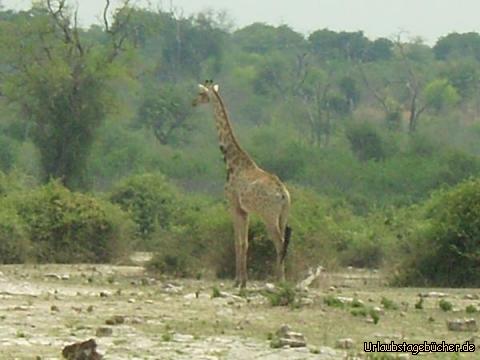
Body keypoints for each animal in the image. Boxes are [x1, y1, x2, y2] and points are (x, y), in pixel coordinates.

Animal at [192, 80, 292, 288]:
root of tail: (283, 194)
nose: (193, 103)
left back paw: (279, 281)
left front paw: (238, 281)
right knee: (284, 241)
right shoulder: (245, 211)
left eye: (201, 94)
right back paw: (281, 280)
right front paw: (243, 280)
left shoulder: (234, 205)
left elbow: (238, 242)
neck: (231, 161)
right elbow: (245, 243)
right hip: (283, 215)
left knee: (279, 242)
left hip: (269, 216)